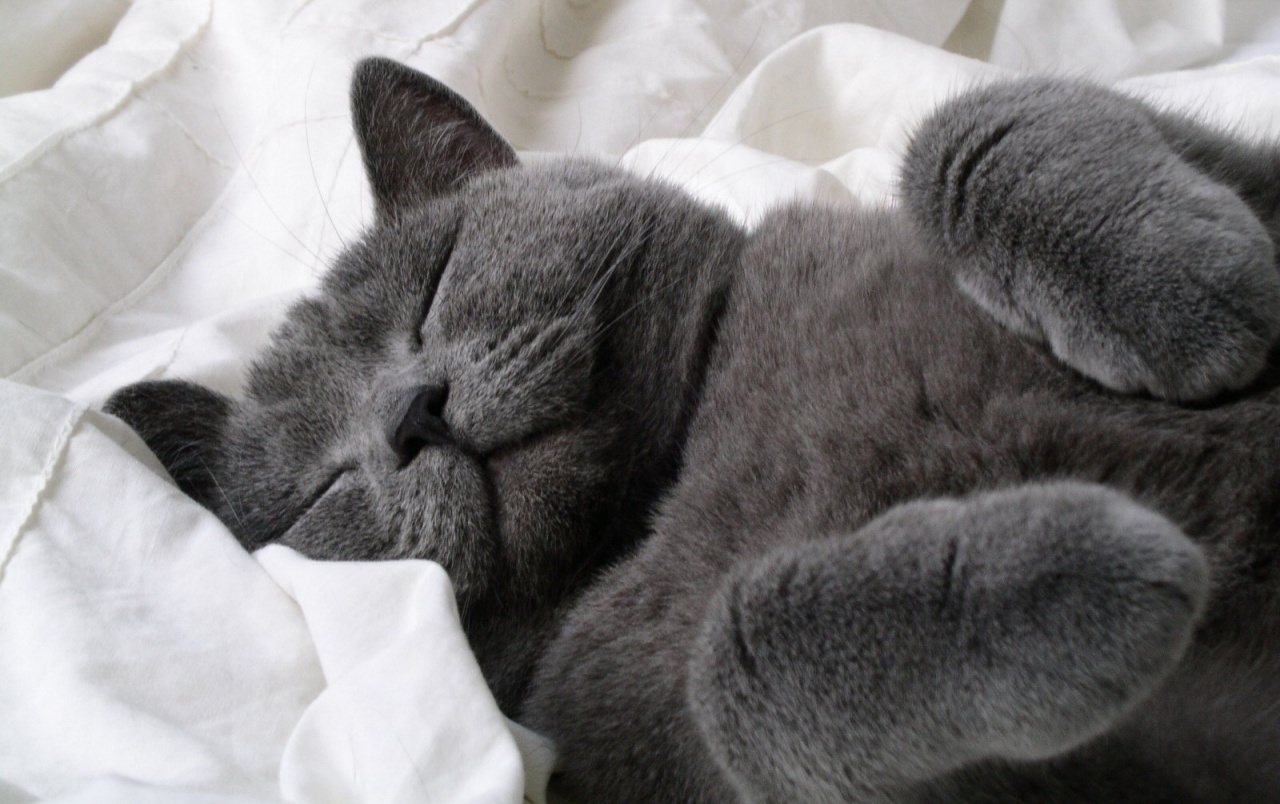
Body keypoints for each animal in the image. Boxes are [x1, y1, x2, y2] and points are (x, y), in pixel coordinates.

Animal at [107, 59, 1280, 798]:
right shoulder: (625, 747)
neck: (664, 481)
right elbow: (727, 665)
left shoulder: (1242, 163)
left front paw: (1194, 289)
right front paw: (1082, 580)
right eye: (323, 486)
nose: (408, 414)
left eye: (435, 287)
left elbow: (972, 119)